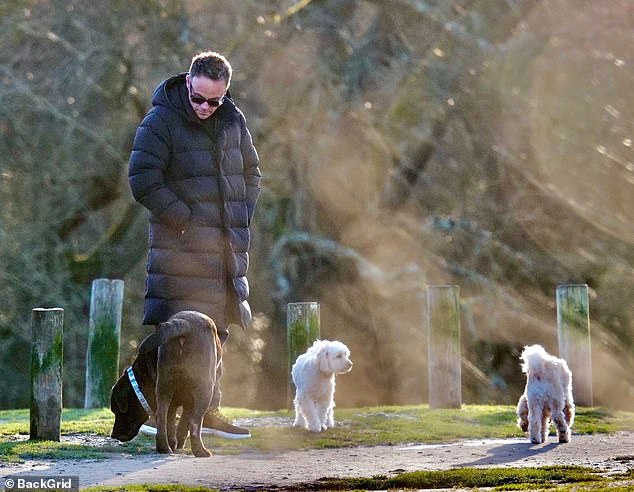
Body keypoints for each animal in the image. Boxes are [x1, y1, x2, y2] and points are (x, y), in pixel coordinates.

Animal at [111, 312, 222, 458]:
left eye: (116, 411)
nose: (113, 435)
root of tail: (185, 324)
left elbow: (172, 420)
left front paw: (174, 443)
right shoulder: (189, 400)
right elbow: (184, 422)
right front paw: (178, 443)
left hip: (164, 385)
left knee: (162, 416)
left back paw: (164, 447)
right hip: (204, 388)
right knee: (195, 423)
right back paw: (200, 451)